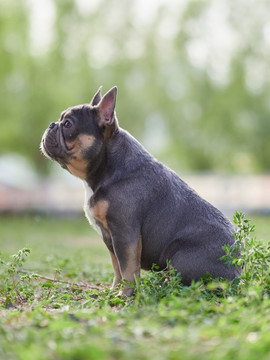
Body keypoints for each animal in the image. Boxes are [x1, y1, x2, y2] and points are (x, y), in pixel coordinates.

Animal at [40, 86, 238, 296]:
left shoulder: (125, 234)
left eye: (68, 124)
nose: (51, 125)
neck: (108, 167)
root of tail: (238, 268)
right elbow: (117, 267)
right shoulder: (111, 238)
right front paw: (114, 290)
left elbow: (127, 267)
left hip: (179, 257)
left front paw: (125, 294)